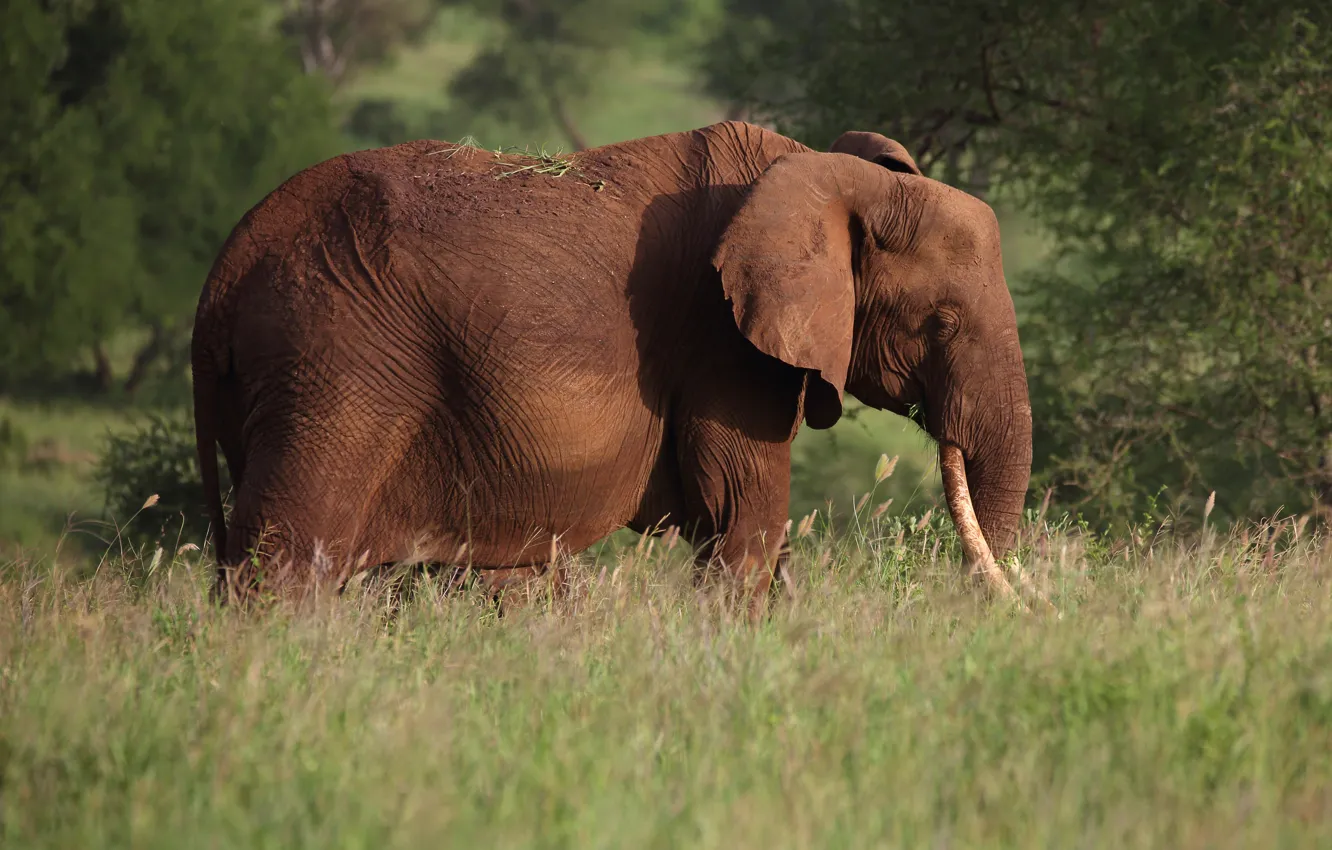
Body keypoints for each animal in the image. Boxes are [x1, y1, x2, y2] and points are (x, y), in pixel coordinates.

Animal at [192, 120, 1033, 612]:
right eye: (941, 322)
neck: (827, 173)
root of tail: (220, 281)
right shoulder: (721, 342)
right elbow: (741, 515)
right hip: (333, 366)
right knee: (285, 559)